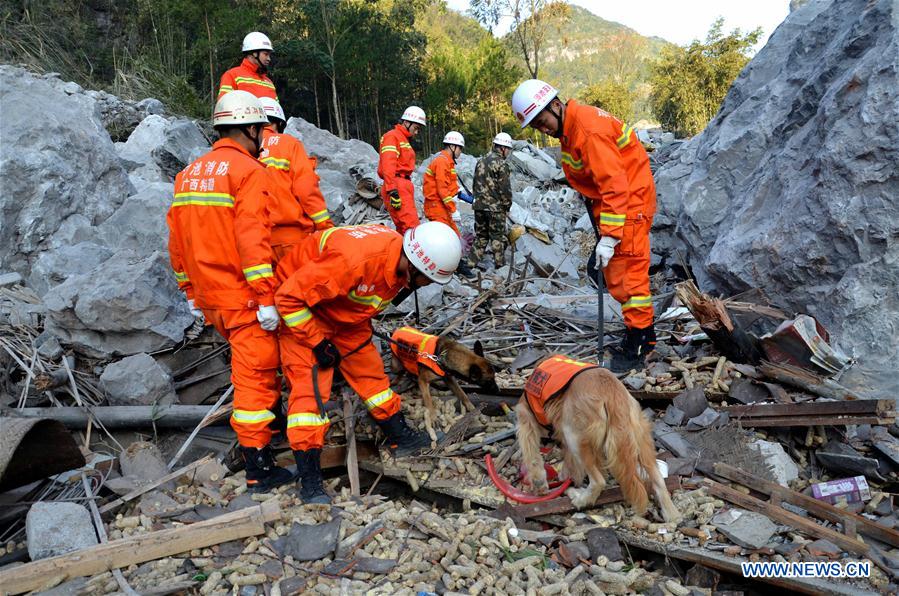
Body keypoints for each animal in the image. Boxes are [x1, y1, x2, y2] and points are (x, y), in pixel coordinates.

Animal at [516, 358, 680, 520]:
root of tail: (611, 391)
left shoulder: (526, 419)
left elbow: (533, 456)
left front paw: (540, 483)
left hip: (574, 435)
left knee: (598, 481)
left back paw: (581, 499)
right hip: (641, 438)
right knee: (658, 480)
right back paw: (672, 515)